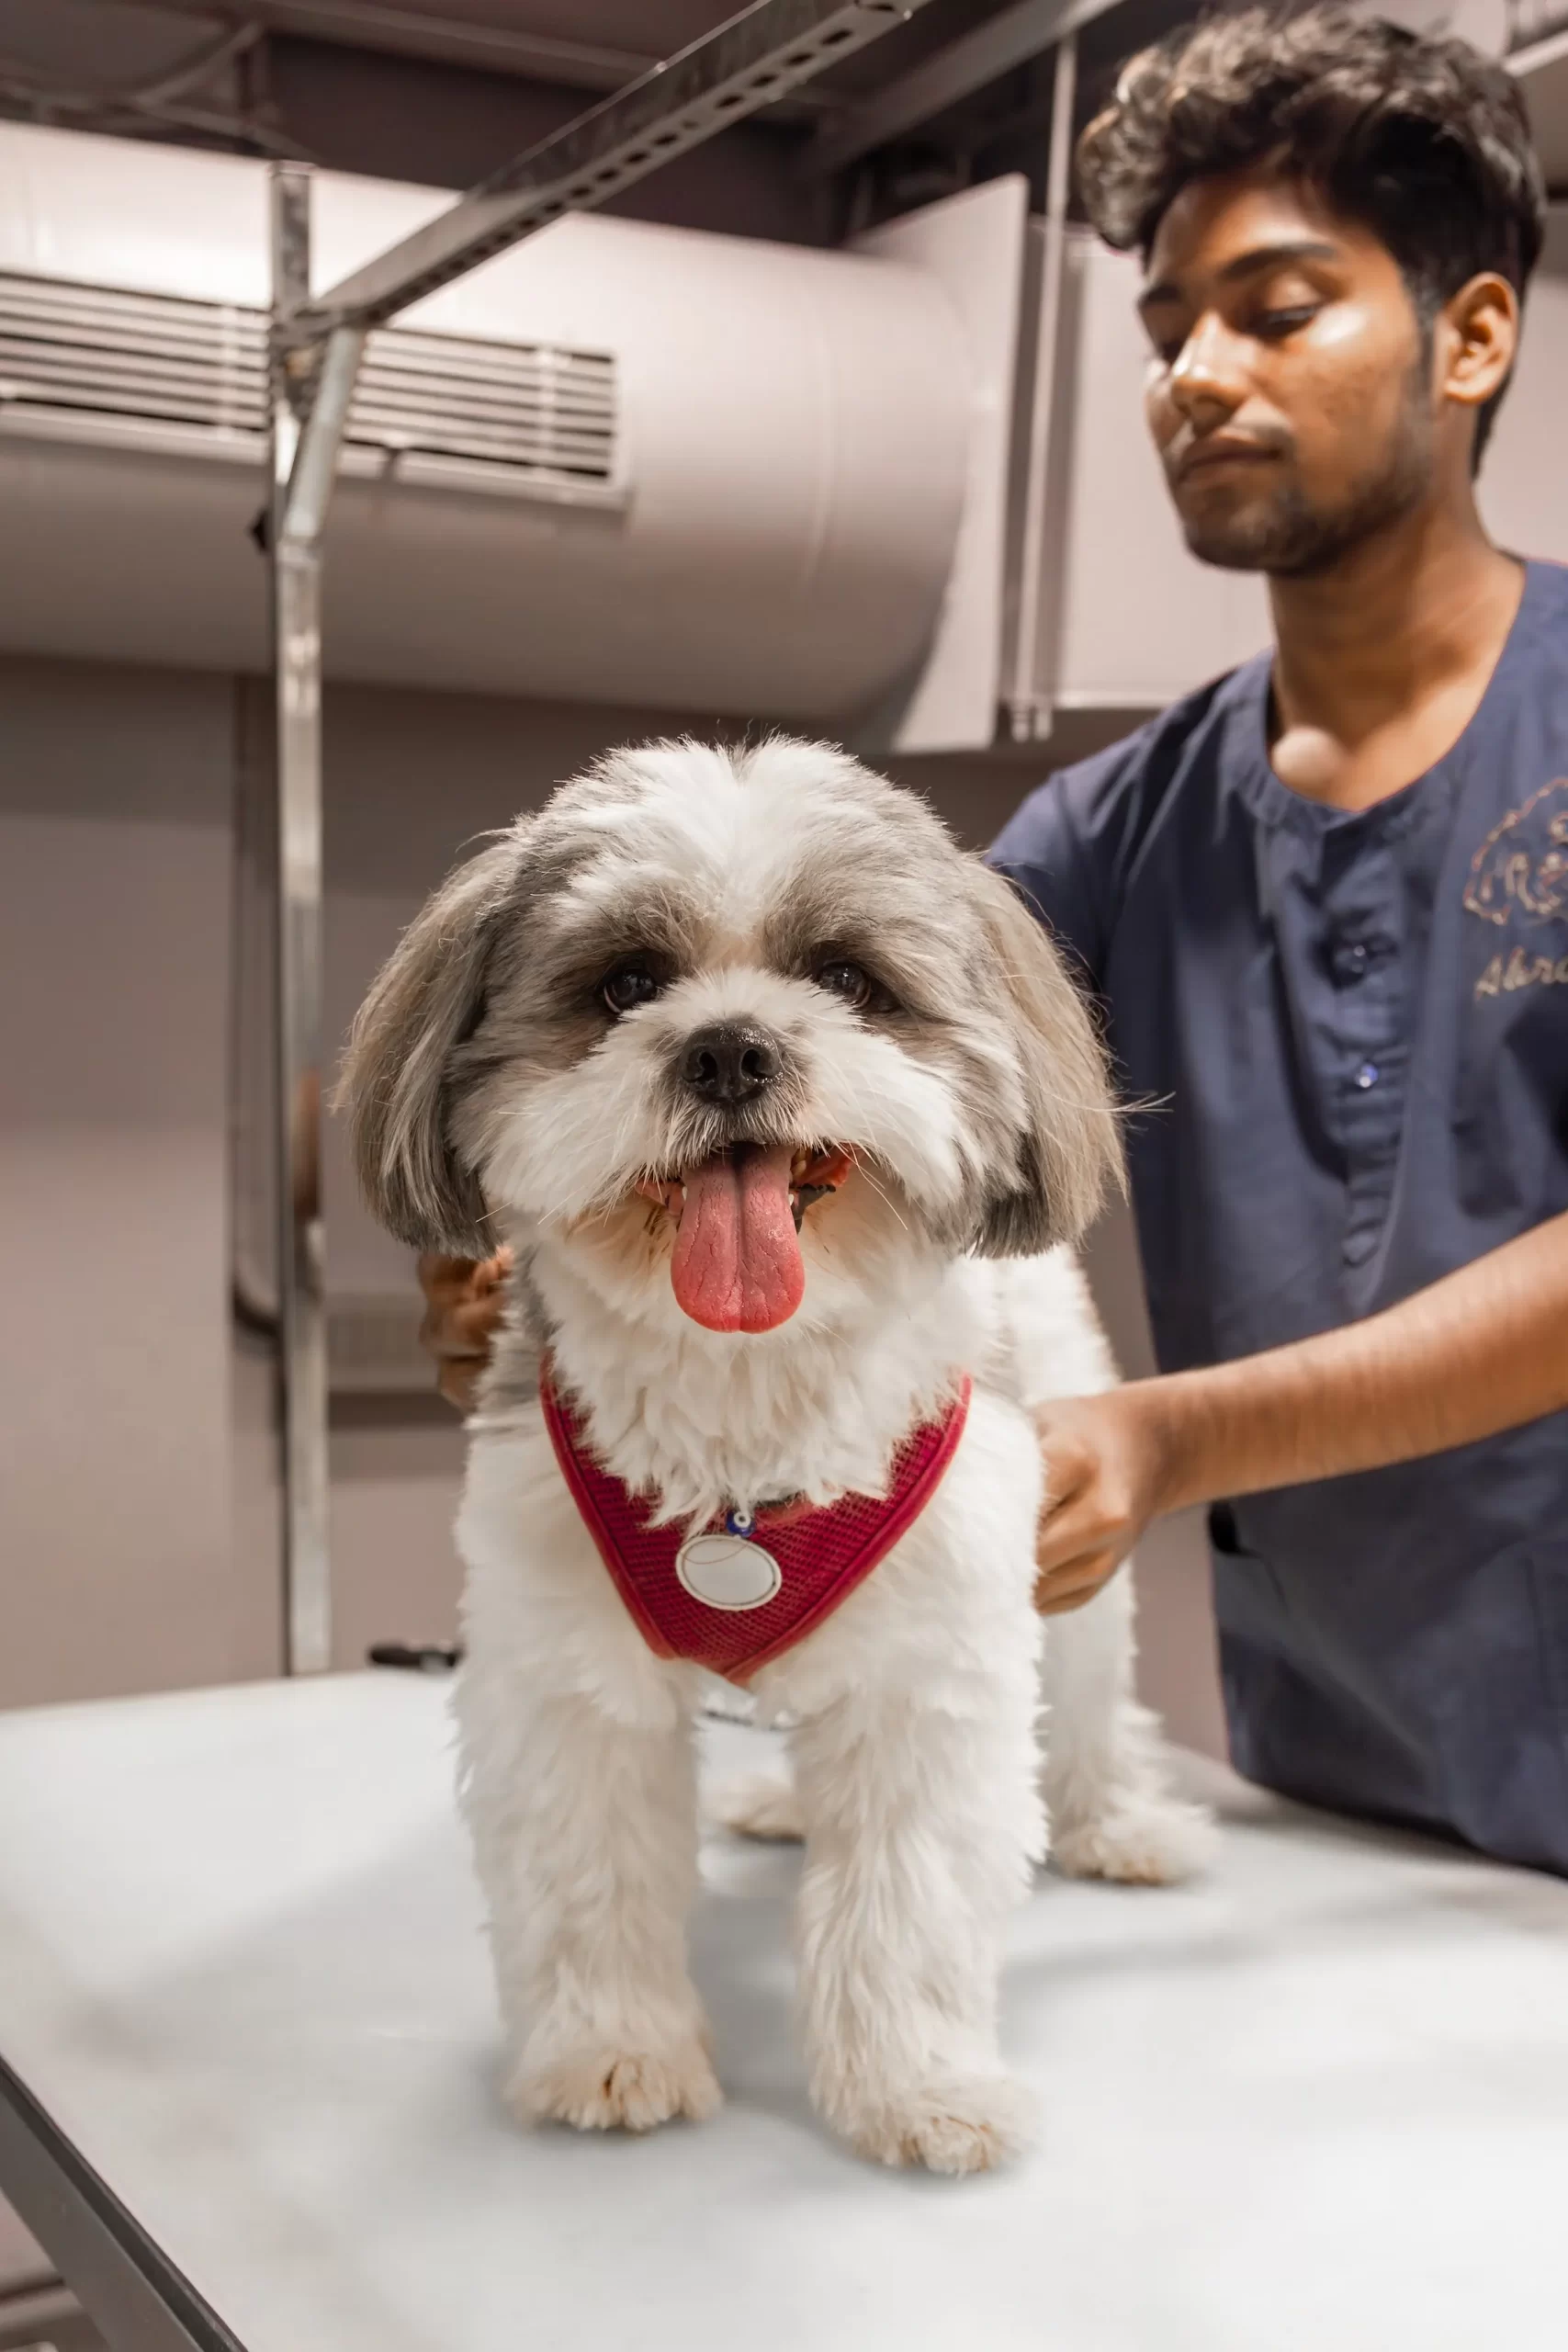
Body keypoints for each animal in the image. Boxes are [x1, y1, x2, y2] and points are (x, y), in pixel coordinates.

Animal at [339, 736, 1213, 2177]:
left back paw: (1115, 1821)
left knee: (1089, 1700)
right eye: (627, 983)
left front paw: (918, 2087)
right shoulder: (564, 1674)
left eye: (848, 980)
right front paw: (610, 2051)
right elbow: (589, 1870)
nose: (730, 1046)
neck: (743, 1409)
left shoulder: (933, 1672)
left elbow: (907, 1900)